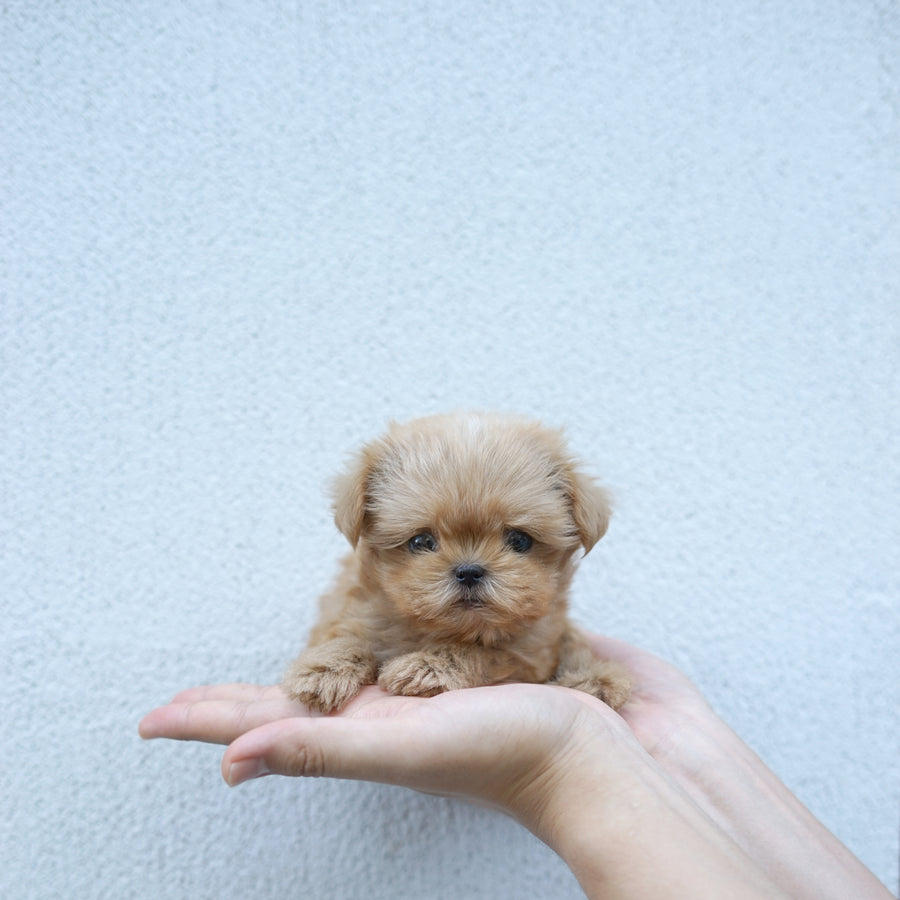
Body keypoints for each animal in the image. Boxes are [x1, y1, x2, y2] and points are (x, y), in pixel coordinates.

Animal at [284, 412, 632, 712]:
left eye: (519, 540)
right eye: (422, 541)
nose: (469, 571)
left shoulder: (527, 653)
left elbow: (477, 652)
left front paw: (427, 666)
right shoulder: (356, 610)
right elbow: (347, 635)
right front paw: (322, 669)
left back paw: (595, 680)